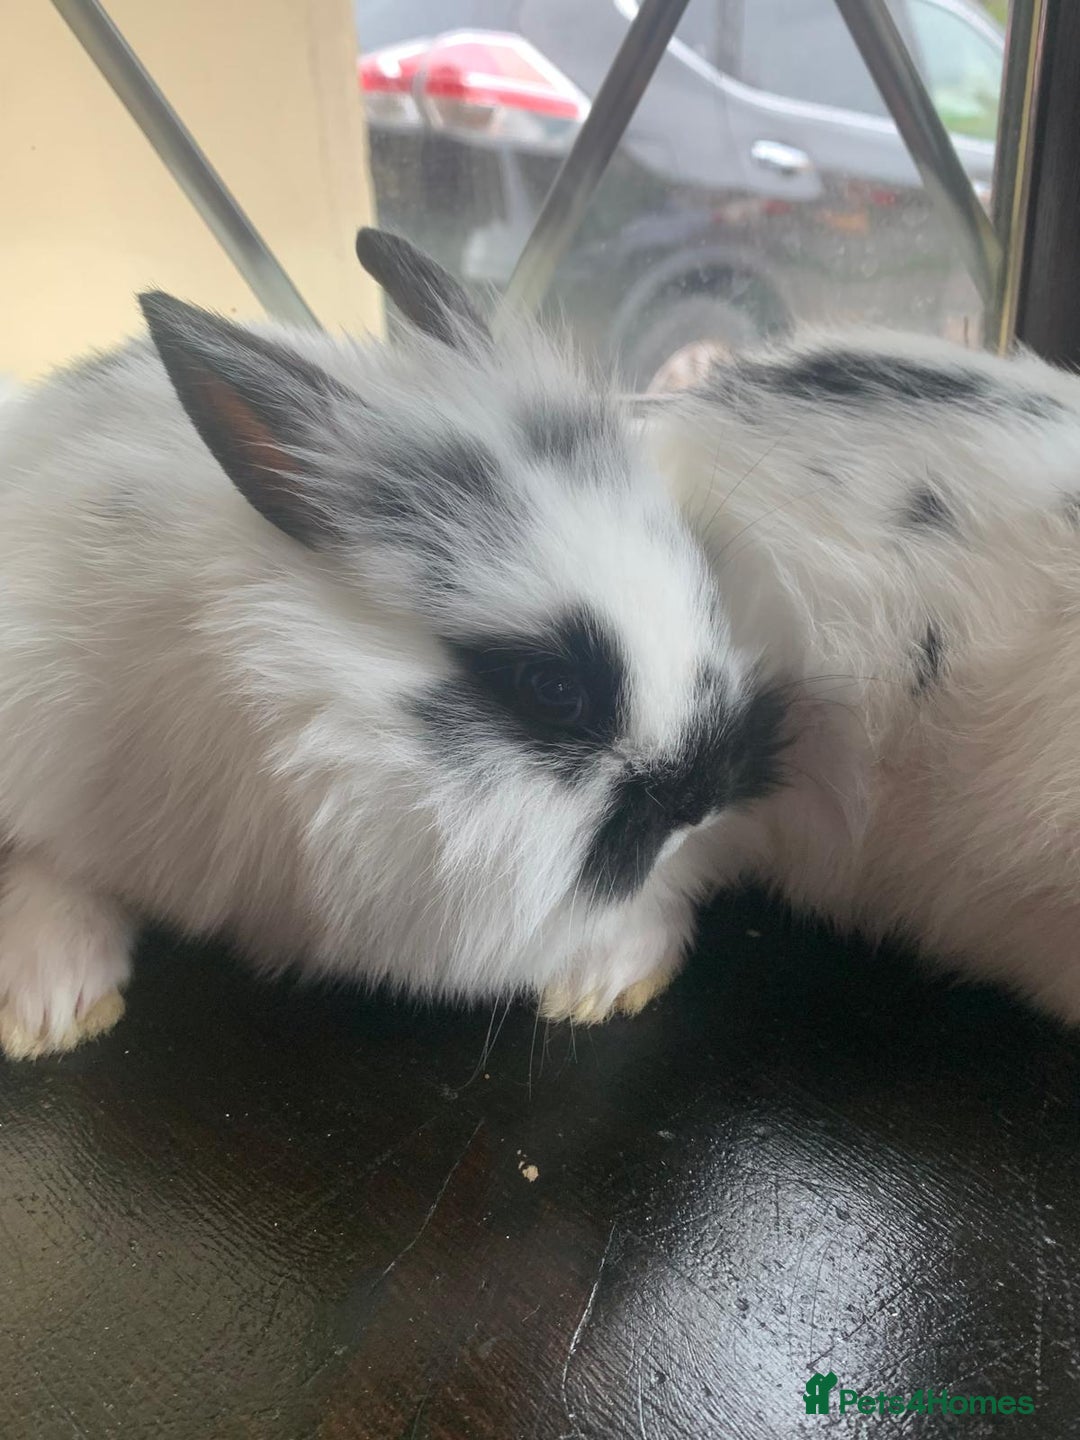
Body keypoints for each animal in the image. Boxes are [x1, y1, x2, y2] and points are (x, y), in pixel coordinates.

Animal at [0, 230, 793, 1058]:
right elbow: (51, 867)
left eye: (704, 582)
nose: (705, 796)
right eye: (552, 689)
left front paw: (600, 983)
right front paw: (48, 1008)